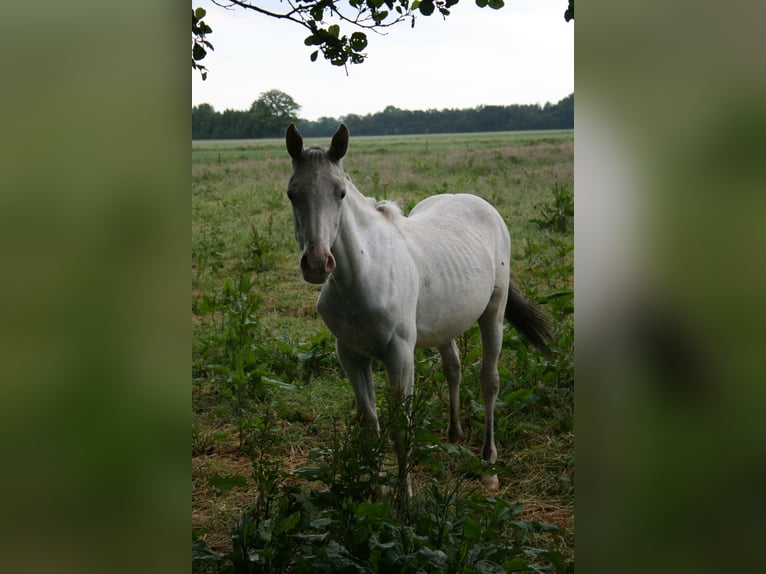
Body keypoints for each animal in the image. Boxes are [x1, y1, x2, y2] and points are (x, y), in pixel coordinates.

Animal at [284, 122, 548, 496]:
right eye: (292, 193)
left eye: (341, 193)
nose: (318, 264)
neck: (362, 274)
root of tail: (478, 203)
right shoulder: (349, 354)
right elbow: (370, 422)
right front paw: (375, 489)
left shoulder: (399, 354)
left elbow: (400, 427)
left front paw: (404, 498)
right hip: (445, 323)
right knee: (453, 369)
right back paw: (453, 438)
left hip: (493, 314)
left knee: (489, 381)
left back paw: (488, 465)